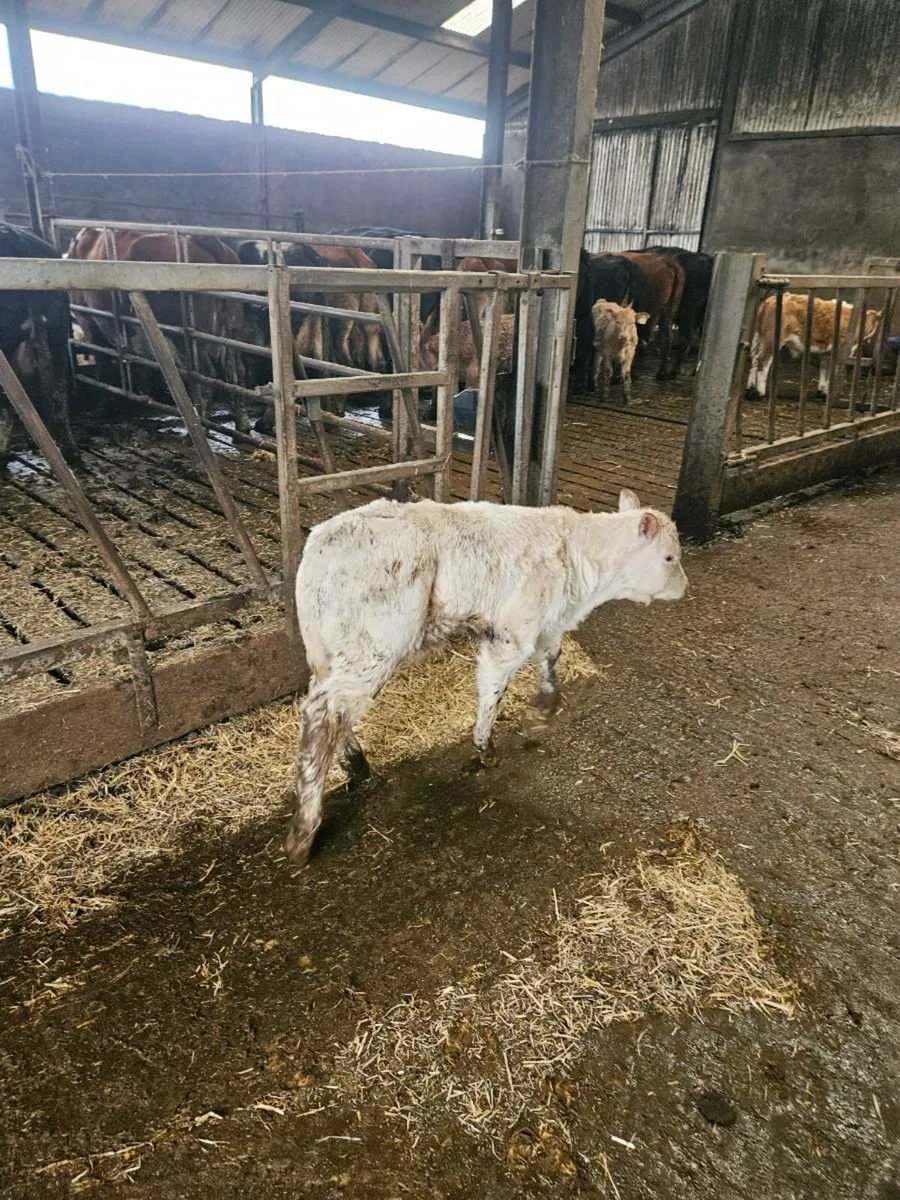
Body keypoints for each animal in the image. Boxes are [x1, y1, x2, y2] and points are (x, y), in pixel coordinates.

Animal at [67, 227, 252, 432]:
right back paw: (242, 421)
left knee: (204, 379)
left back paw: (198, 426)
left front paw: (105, 407)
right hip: (231, 330)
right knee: (235, 372)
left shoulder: (88, 320)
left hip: (188, 338)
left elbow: (103, 365)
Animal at [284, 489, 688, 862]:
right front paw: (484, 747)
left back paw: (356, 766)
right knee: (322, 712)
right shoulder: (510, 634)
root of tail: (322, 543)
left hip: (326, 651)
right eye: (670, 557)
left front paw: (541, 712)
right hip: (373, 645)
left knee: (332, 710)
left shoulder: (547, 624)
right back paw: (303, 833)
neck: (577, 563)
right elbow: (493, 689)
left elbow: (550, 660)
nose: (685, 588)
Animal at [748, 293, 883, 399]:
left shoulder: (826, 352)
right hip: (771, 340)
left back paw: (750, 389)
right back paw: (760, 393)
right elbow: (832, 372)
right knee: (762, 363)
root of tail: (768, 301)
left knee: (754, 361)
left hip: (759, 338)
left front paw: (821, 392)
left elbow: (824, 369)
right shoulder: (840, 351)